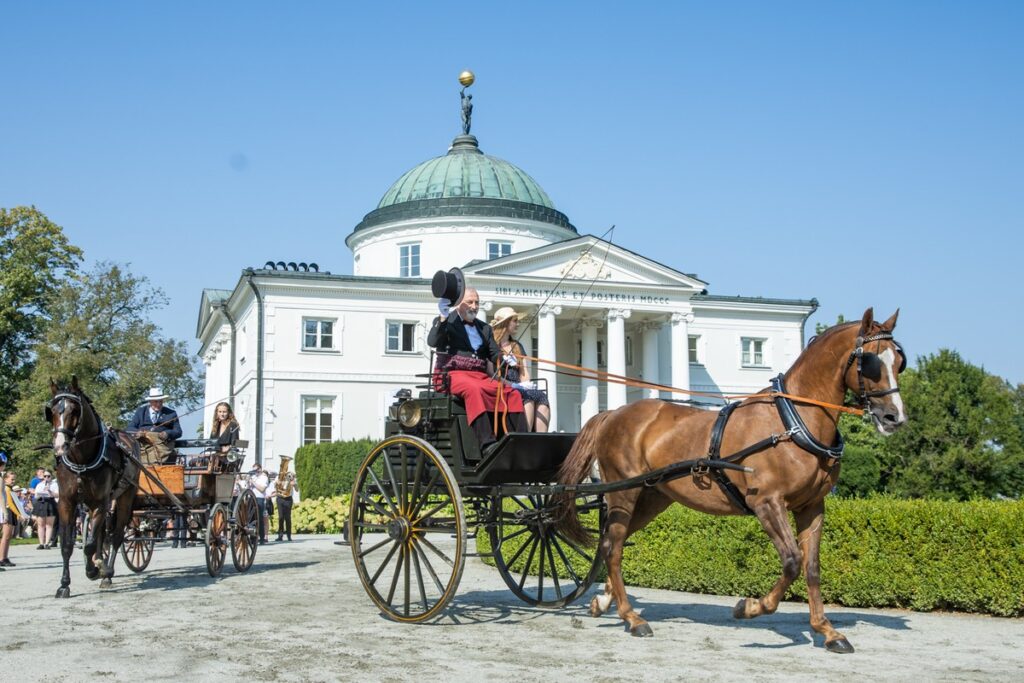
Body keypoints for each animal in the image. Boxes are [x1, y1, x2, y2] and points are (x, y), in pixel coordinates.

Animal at [47, 376, 140, 593]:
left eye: (74, 410)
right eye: (52, 411)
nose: (60, 446)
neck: (82, 461)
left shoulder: (100, 502)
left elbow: (89, 544)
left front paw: (93, 571)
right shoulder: (66, 502)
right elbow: (68, 545)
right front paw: (64, 585)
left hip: (124, 497)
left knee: (116, 536)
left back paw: (106, 572)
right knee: (101, 535)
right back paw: (100, 563)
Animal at [557, 309, 909, 651]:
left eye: (898, 360)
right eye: (870, 361)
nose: (895, 417)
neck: (792, 421)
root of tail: (613, 413)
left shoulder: (812, 506)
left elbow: (811, 568)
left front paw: (827, 630)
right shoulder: (767, 502)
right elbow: (792, 561)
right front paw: (750, 607)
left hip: (652, 498)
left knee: (611, 542)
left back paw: (606, 601)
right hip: (624, 494)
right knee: (613, 547)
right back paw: (631, 617)